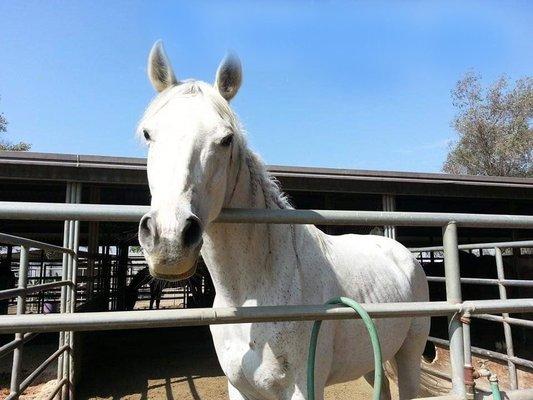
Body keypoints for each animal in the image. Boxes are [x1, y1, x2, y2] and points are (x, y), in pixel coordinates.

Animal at [136, 41, 428, 400]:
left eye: (226, 139)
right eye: (148, 134)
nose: (169, 239)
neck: (251, 295)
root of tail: (401, 253)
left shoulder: (302, 387)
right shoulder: (239, 387)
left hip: (409, 354)